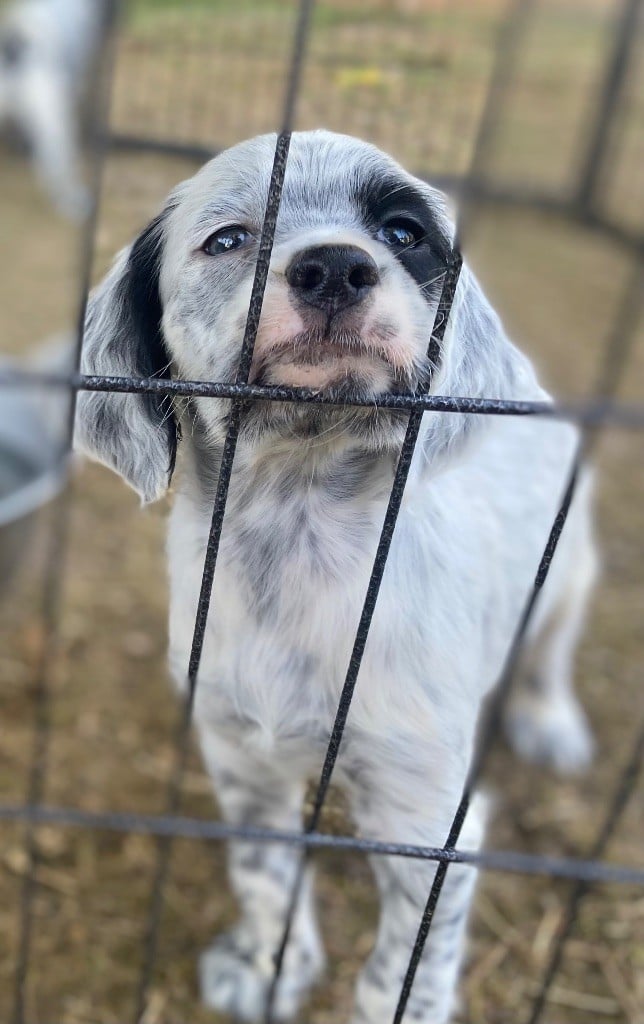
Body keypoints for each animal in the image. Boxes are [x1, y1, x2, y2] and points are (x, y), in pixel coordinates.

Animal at [76, 132, 597, 1019]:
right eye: (228, 239)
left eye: (402, 234)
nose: (334, 268)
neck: (299, 533)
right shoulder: (244, 766)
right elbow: (266, 883)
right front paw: (266, 969)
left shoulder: (427, 823)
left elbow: (408, 968)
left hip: (569, 574)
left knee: (550, 653)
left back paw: (549, 718)